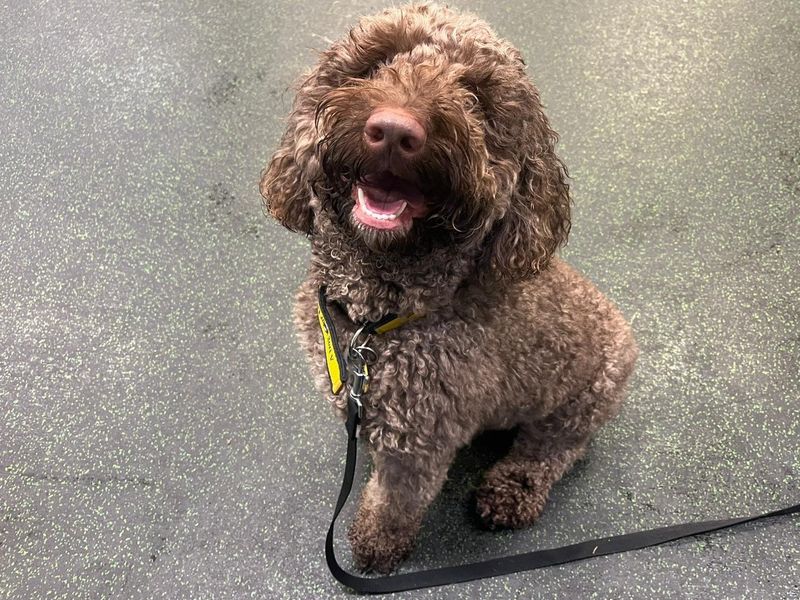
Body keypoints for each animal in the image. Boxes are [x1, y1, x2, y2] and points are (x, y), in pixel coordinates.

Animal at [260, 1, 636, 572]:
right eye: (378, 61)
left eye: (475, 95)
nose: (395, 131)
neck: (377, 319)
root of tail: (625, 331)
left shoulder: (419, 441)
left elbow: (393, 502)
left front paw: (375, 546)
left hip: (582, 403)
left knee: (553, 451)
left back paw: (512, 489)